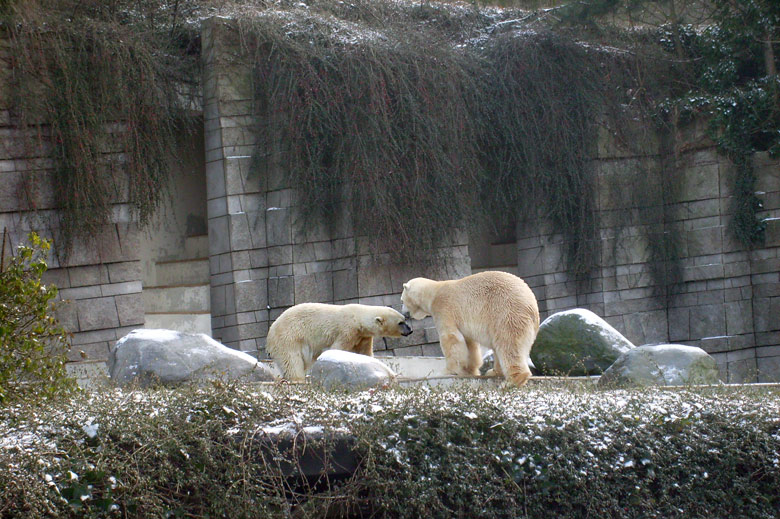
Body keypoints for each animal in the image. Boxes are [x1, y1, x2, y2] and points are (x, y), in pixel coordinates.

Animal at [268, 304, 412, 382]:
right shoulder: (347, 330)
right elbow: (338, 348)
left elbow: (364, 353)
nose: (410, 330)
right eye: (401, 322)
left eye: (404, 319)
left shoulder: (363, 336)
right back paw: (298, 379)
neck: (358, 318)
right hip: (289, 337)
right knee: (292, 360)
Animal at [400, 272, 540, 386]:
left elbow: (450, 338)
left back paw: (513, 381)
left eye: (402, 300)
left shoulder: (444, 308)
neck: (433, 292)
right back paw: (493, 372)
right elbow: (469, 343)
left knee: (509, 344)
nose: (403, 313)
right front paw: (469, 370)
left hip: (505, 311)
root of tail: (532, 305)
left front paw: (448, 371)